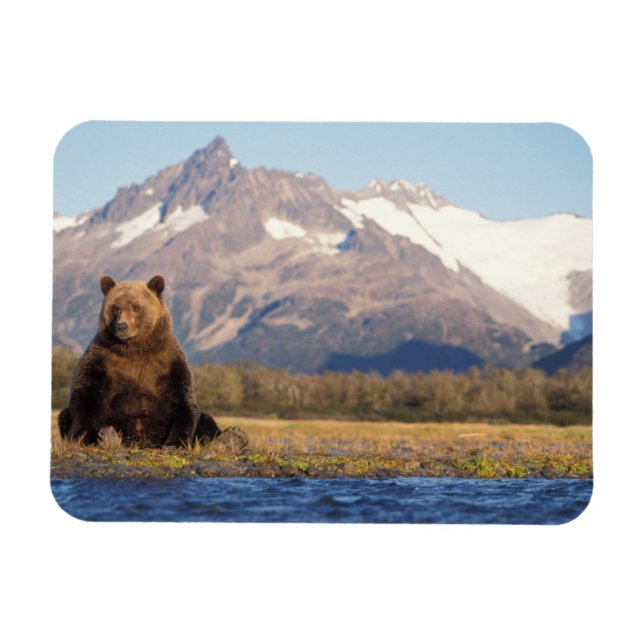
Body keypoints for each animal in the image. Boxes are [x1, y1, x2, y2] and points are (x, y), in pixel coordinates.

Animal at [58, 274, 242, 449]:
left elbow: (183, 402)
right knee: (64, 415)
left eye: (136, 307)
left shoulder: (169, 363)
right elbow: (85, 395)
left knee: (206, 420)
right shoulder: (101, 359)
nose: (122, 326)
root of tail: (142, 442)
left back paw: (233, 438)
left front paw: (174, 443)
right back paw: (108, 437)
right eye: (115, 307)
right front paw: (82, 437)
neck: (135, 349)